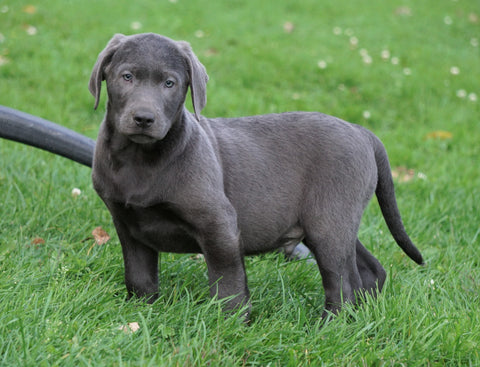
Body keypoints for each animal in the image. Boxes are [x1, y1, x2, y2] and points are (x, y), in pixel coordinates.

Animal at [89, 33, 424, 320]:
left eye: (170, 83)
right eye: (127, 77)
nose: (144, 118)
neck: (139, 158)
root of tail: (361, 130)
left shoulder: (219, 223)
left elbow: (228, 282)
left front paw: (231, 324)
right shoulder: (128, 226)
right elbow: (139, 276)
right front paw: (141, 313)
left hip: (329, 223)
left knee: (343, 284)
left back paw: (329, 328)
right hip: (333, 222)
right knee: (368, 270)